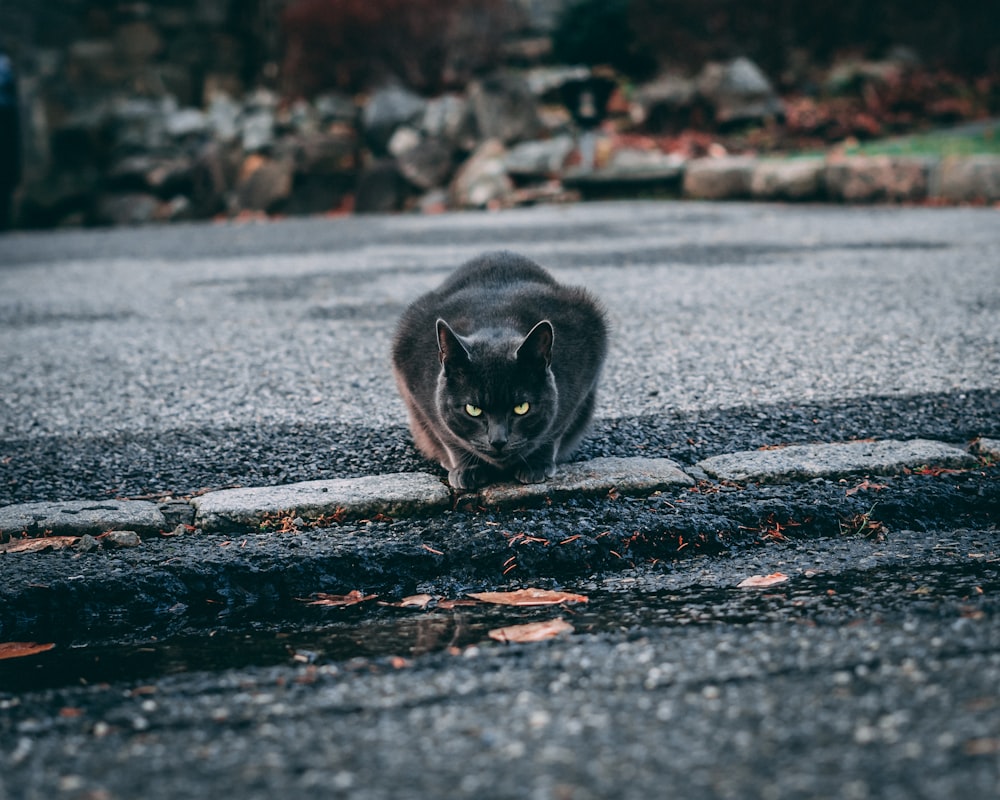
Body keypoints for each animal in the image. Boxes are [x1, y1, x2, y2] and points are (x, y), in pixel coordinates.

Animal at [392, 252, 608, 488]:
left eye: (522, 408)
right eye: (472, 409)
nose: (498, 441)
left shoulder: (582, 379)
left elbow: (554, 430)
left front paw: (536, 465)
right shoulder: (416, 386)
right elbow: (448, 436)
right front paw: (467, 469)